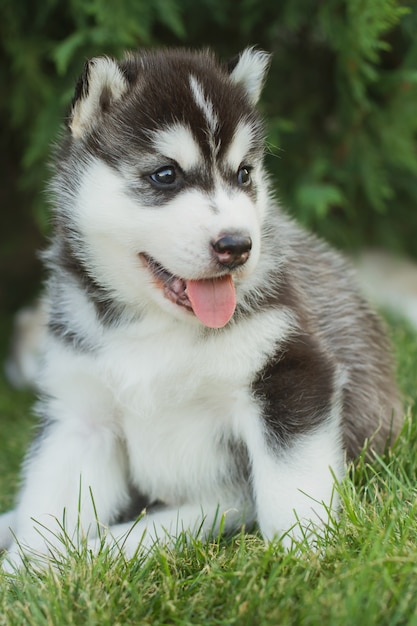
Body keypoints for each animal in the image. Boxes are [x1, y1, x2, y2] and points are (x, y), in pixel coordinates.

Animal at [0, 47, 404, 564]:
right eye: (165, 175)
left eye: (244, 174)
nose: (238, 245)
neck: (155, 328)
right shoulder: (81, 413)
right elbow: (47, 512)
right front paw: (30, 569)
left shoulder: (290, 370)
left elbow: (291, 484)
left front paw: (306, 553)